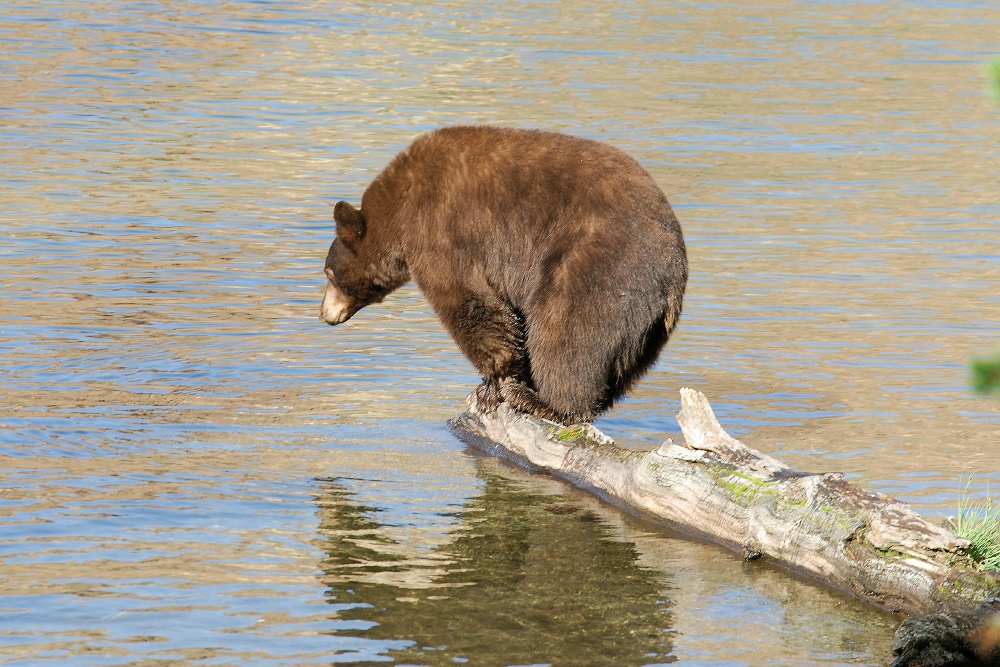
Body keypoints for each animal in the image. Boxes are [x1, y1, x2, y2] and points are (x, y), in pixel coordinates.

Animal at [320, 125, 688, 426]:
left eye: (328, 273)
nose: (324, 314)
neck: (400, 206)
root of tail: (674, 272)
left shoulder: (440, 229)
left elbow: (469, 301)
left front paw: (492, 386)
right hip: (646, 329)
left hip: (596, 265)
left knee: (568, 332)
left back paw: (542, 401)